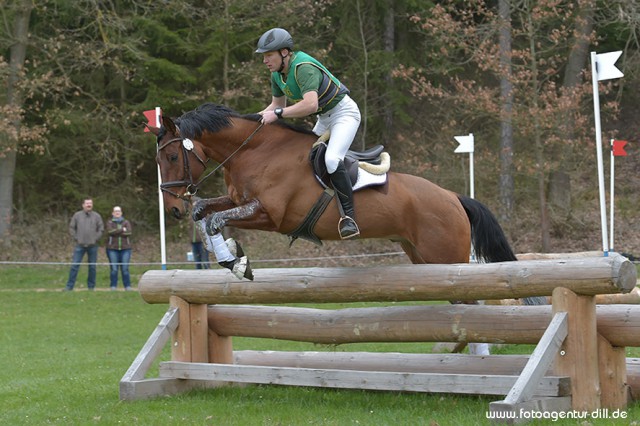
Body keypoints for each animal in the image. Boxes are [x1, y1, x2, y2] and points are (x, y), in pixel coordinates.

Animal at [151, 101, 544, 302]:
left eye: (170, 157)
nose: (172, 208)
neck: (254, 151)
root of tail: (453, 197)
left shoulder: (271, 215)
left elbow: (218, 219)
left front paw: (237, 261)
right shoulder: (236, 201)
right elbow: (205, 215)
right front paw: (232, 257)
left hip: (447, 257)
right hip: (422, 257)